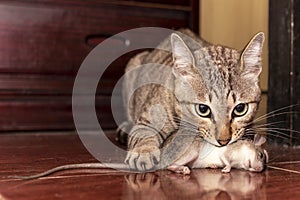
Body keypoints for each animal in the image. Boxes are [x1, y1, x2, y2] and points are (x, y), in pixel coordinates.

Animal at [118, 28, 264, 171]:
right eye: (203, 109)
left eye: (240, 109)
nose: (224, 141)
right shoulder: (146, 122)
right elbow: (143, 134)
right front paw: (143, 152)